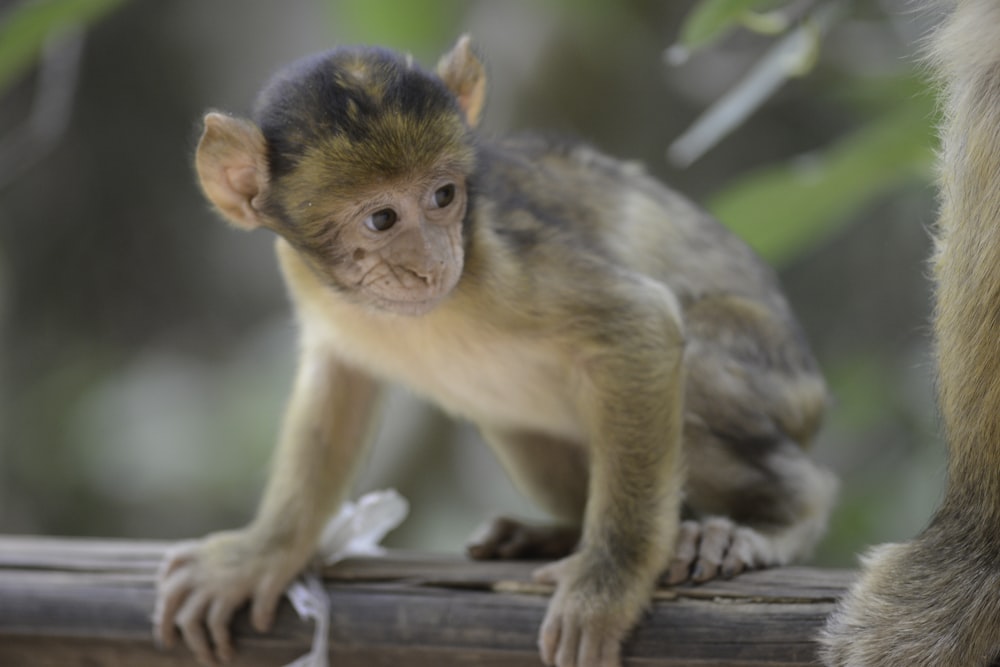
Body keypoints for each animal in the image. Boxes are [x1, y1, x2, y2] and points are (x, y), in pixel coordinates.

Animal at [154, 36, 836, 667]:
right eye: (381, 220)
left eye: (444, 197)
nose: (433, 264)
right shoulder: (303, 276)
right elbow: (339, 381)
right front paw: (261, 554)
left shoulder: (500, 260)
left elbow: (640, 324)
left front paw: (606, 587)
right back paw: (552, 535)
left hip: (779, 383)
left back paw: (780, 517)